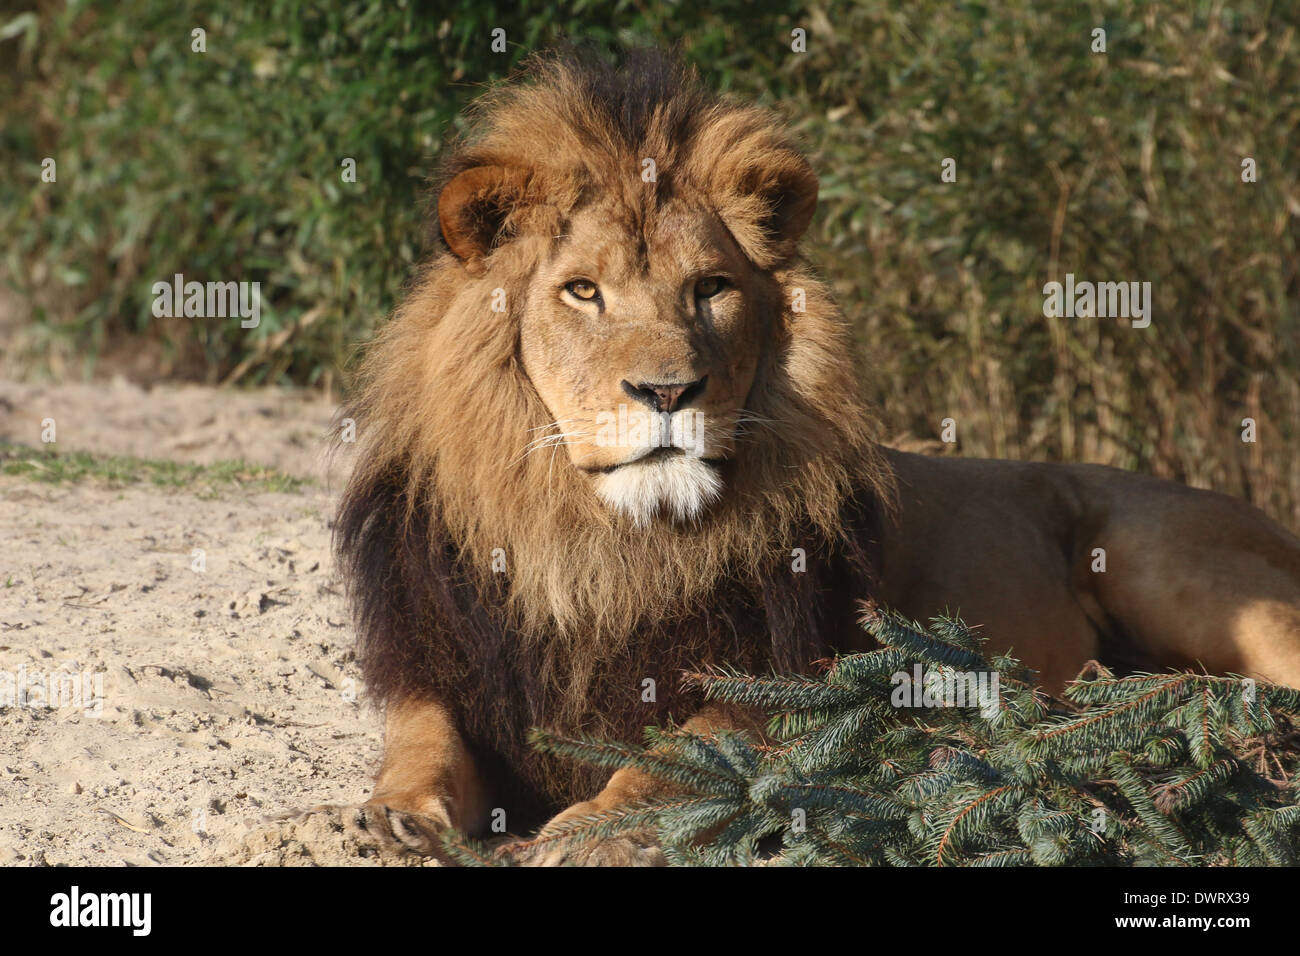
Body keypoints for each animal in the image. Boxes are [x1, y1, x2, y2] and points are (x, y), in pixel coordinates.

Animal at [332, 48, 1300, 864]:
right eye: (581, 291)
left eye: (710, 289)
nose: (668, 393)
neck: (604, 544)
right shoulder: (447, 660)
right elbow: (422, 740)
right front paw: (397, 813)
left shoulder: (784, 682)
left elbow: (671, 758)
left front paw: (588, 828)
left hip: (1163, 560)